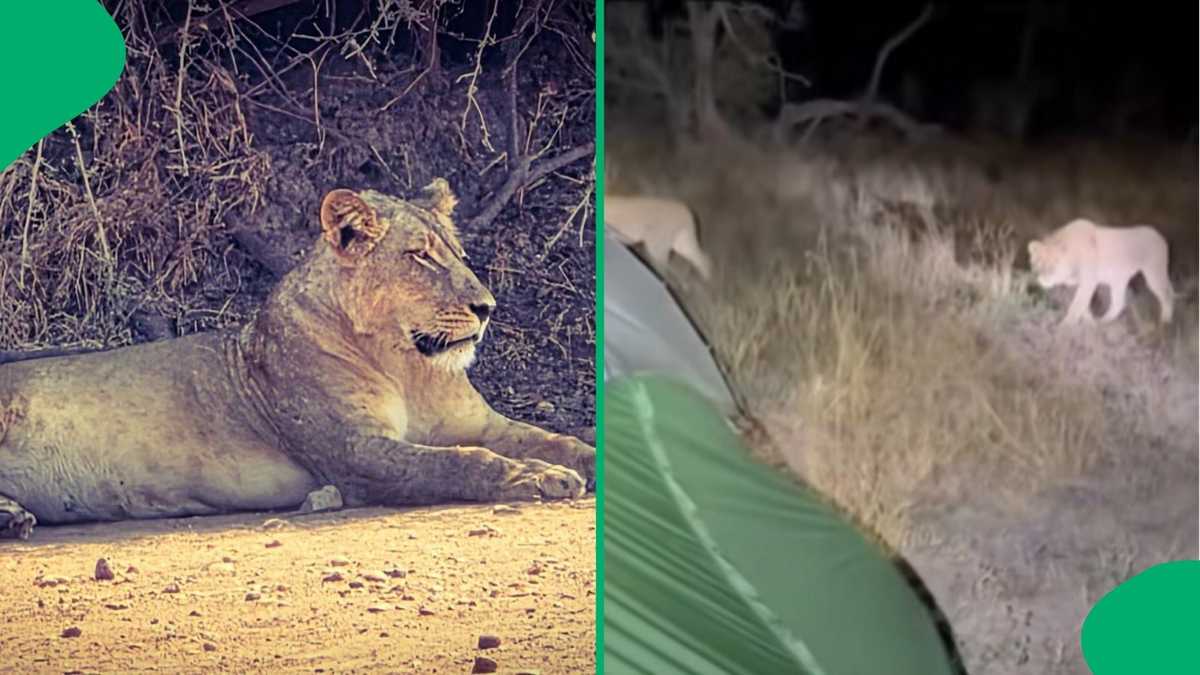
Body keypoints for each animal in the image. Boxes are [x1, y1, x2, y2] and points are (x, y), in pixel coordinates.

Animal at [0, 179, 595, 540]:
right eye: (420, 257)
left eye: (459, 254)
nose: (487, 307)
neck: (405, 362)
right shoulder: (353, 453)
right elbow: (459, 462)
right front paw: (539, 478)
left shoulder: (480, 423)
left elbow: (554, 440)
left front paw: (578, 460)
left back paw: (12, 516)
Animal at [1028, 217, 1174, 326]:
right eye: (1039, 262)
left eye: (1055, 262)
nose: (1044, 278)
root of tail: (1159, 235)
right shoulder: (1078, 285)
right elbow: (1083, 306)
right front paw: (1090, 323)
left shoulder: (1088, 281)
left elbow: (1077, 306)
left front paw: (1065, 328)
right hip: (1118, 279)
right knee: (1118, 303)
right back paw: (1103, 322)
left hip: (1154, 273)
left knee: (1167, 295)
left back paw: (1165, 322)